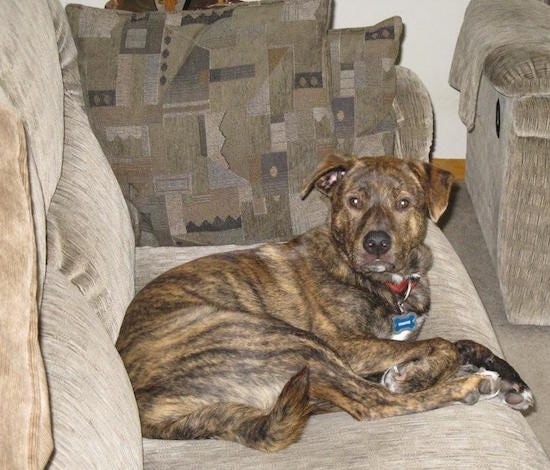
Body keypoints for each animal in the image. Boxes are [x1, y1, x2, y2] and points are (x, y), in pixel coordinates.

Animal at [116, 155, 536, 452]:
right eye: (354, 201)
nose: (376, 243)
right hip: (286, 341)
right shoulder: (348, 347)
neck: (379, 282)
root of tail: (146, 411)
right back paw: (465, 385)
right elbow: (444, 345)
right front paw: (416, 374)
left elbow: (465, 342)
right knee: (373, 403)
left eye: (404, 203)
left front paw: (515, 382)